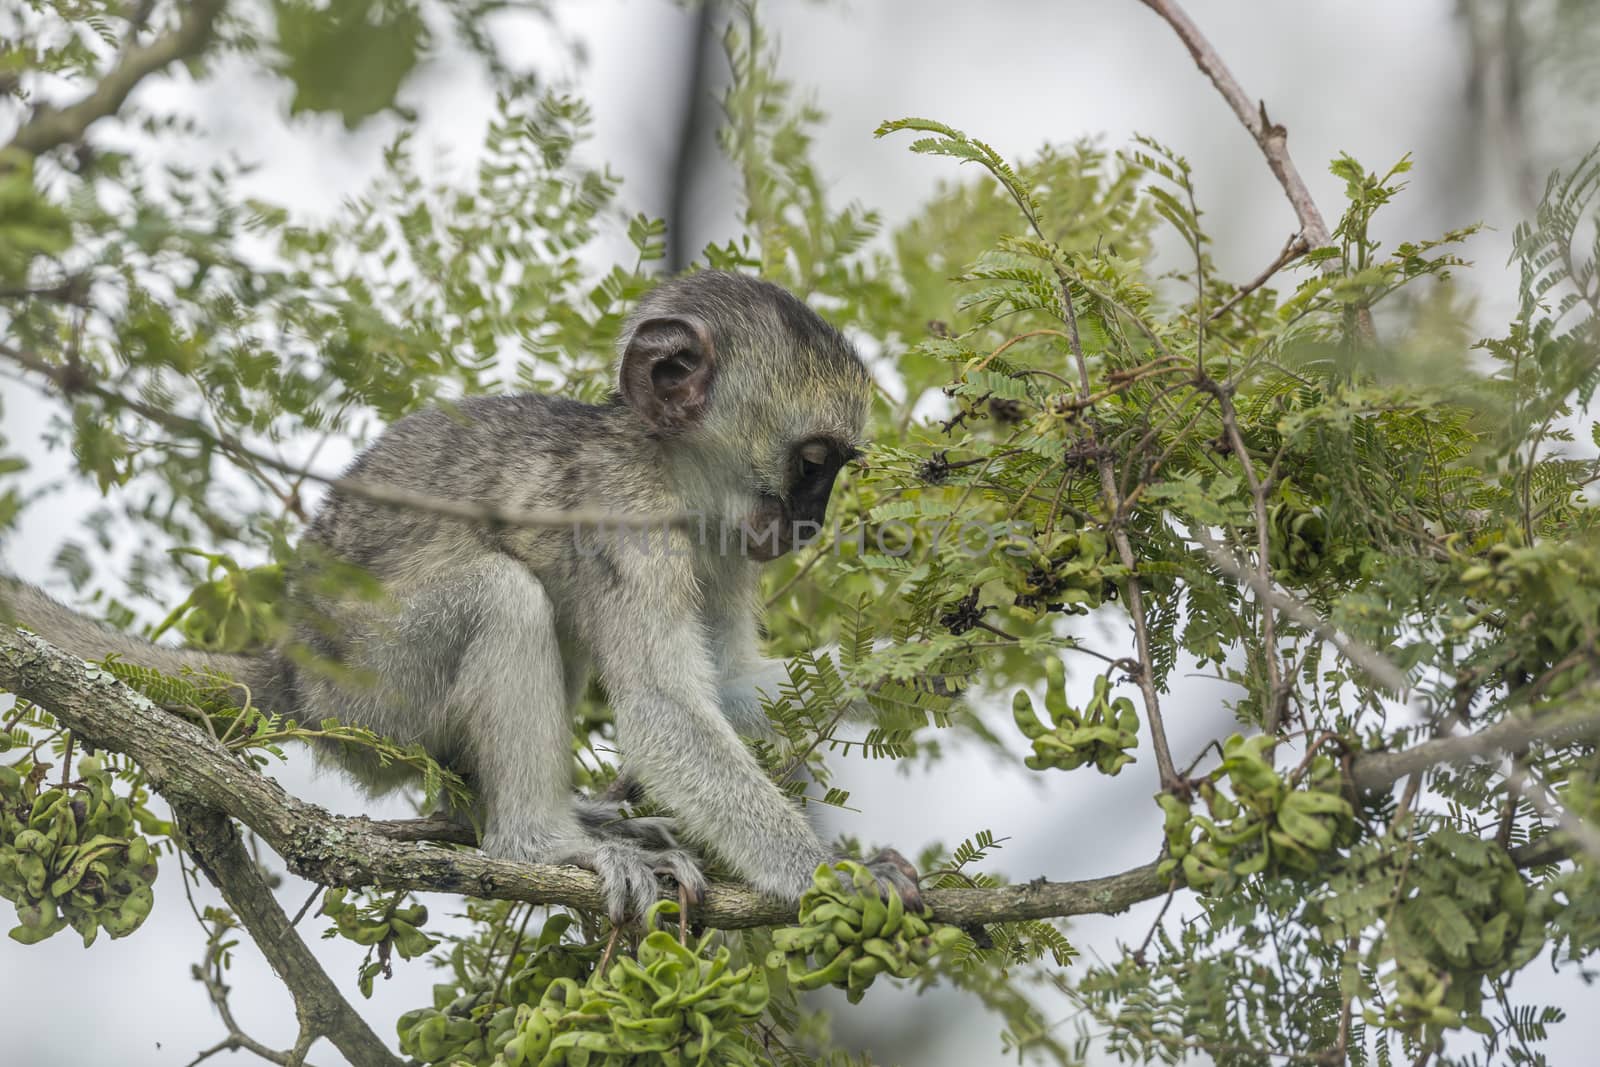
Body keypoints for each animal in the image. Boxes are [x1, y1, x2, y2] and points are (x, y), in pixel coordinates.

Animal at [6, 271, 921, 921]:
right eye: (813, 462)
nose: (810, 522)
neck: (666, 462)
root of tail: (295, 667)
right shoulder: (626, 511)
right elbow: (664, 710)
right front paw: (833, 876)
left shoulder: (727, 544)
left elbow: (726, 687)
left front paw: (910, 668)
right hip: (373, 694)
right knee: (503, 594)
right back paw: (538, 842)